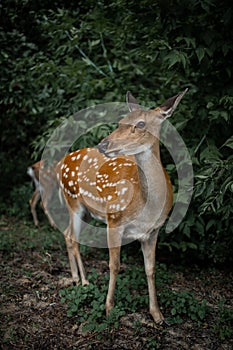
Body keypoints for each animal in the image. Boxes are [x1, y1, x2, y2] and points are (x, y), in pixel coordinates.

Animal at [55, 89, 187, 322]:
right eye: (120, 122)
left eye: (141, 124)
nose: (103, 144)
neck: (147, 207)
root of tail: (61, 163)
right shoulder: (114, 220)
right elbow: (114, 265)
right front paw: (108, 308)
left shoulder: (153, 231)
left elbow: (151, 269)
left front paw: (157, 314)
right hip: (73, 201)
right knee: (72, 236)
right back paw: (84, 281)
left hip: (87, 210)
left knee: (67, 234)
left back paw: (75, 278)